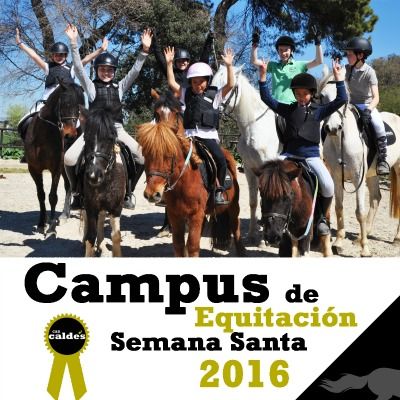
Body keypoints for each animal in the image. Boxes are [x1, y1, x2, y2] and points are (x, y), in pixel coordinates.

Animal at [24, 81, 84, 235]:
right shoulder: (34, 169)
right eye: (66, 103)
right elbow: (41, 195)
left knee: (69, 186)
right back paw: (64, 215)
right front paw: (41, 223)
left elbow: (52, 196)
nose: (70, 136)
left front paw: (51, 227)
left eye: (79, 107)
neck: (42, 136)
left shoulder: (56, 168)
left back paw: (64, 215)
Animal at [81, 108, 126, 257]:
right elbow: (90, 236)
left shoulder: (116, 207)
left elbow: (116, 235)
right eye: (85, 138)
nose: (93, 176)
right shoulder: (90, 206)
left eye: (110, 138)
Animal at [136, 91, 246, 257]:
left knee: (236, 228)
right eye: (146, 154)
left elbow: (193, 246)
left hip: (233, 207)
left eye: (169, 155)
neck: (184, 179)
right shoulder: (176, 215)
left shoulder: (195, 215)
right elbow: (179, 246)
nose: (152, 193)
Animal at [212, 65, 281, 243]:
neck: (254, 126)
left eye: (228, 86)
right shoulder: (249, 169)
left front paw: (263, 240)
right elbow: (253, 202)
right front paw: (251, 234)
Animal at [320, 67, 400, 256]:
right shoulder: (336, 176)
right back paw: (360, 236)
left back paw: (395, 238)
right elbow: (339, 207)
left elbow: (359, 212)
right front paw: (339, 242)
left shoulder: (358, 177)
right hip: (373, 174)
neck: (341, 141)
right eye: (322, 96)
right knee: (376, 197)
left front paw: (365, 249)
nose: (332, 128)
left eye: (343, 98)